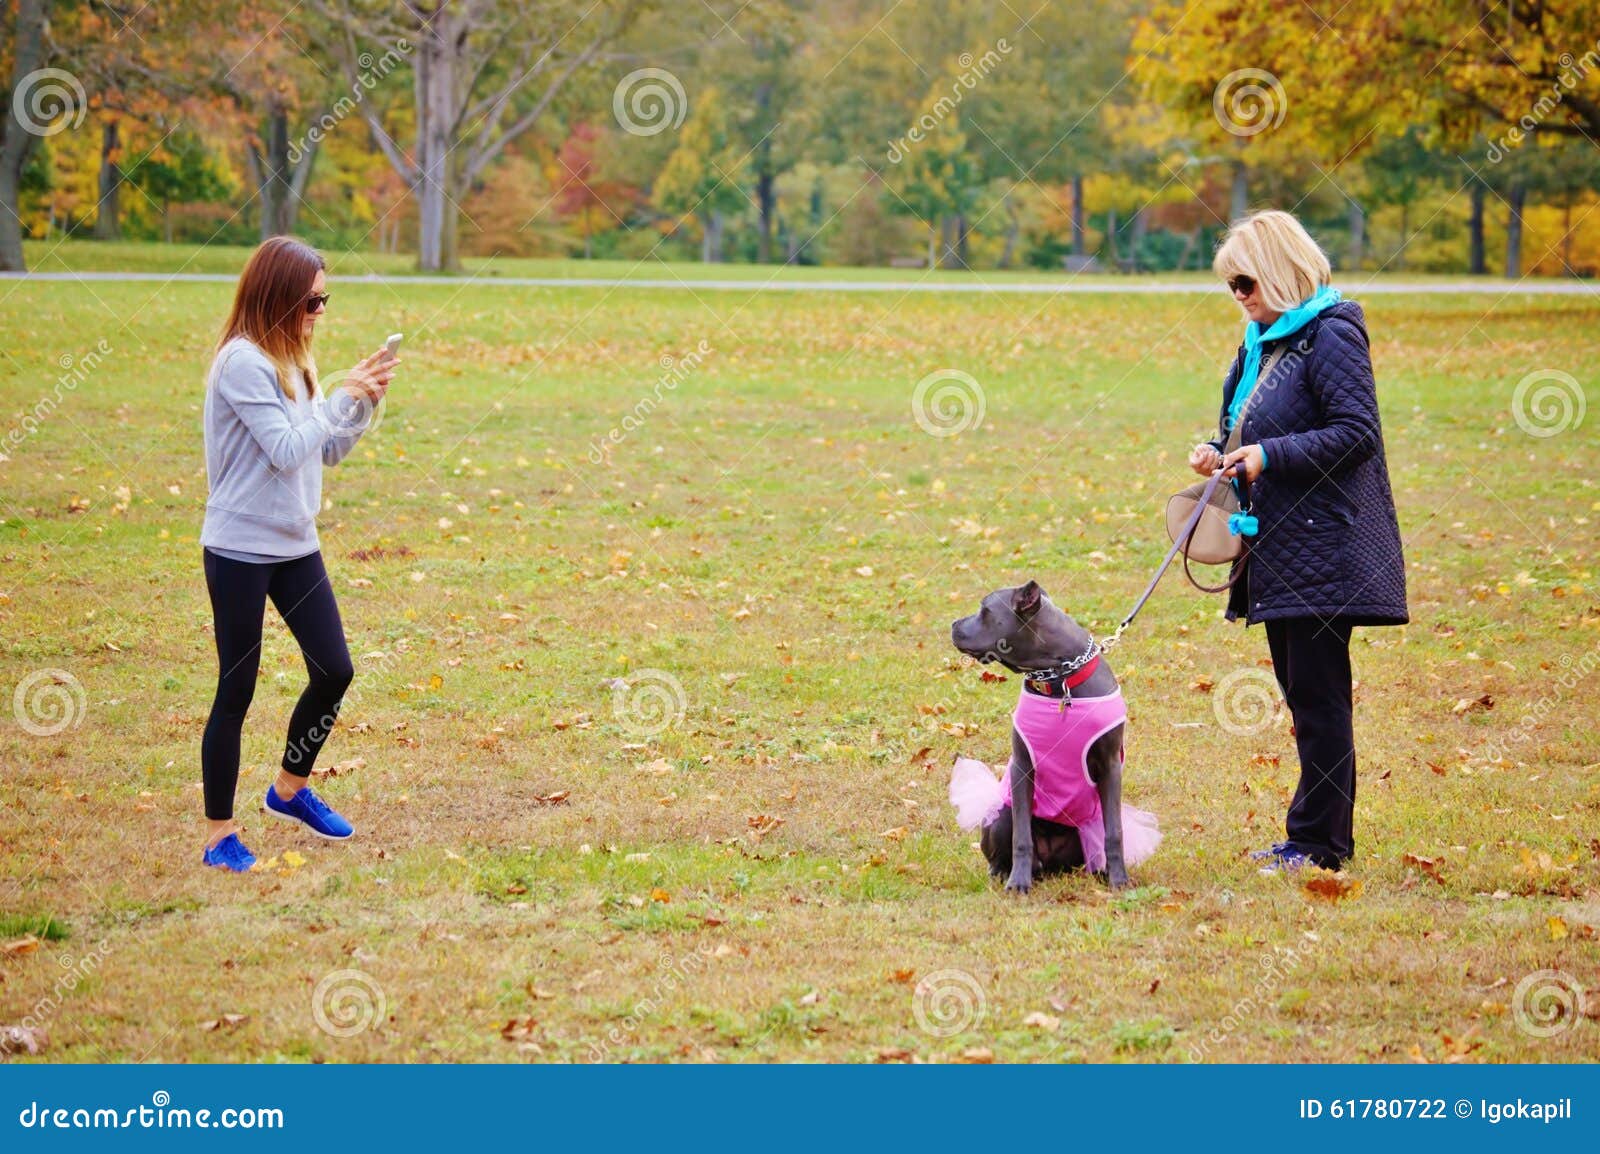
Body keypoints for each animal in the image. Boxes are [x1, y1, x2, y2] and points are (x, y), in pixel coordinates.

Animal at [947, 579, 1139, 896]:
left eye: (985, 609)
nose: (953, 624)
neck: (1060, 678)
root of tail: (1049, 863)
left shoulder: (1110, 765)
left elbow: (1115, 832)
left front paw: (1119, 879)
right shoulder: (1023, 766)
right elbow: (1022, 837)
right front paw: (1018, 882)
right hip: (1001, 814)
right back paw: (1006, 873)